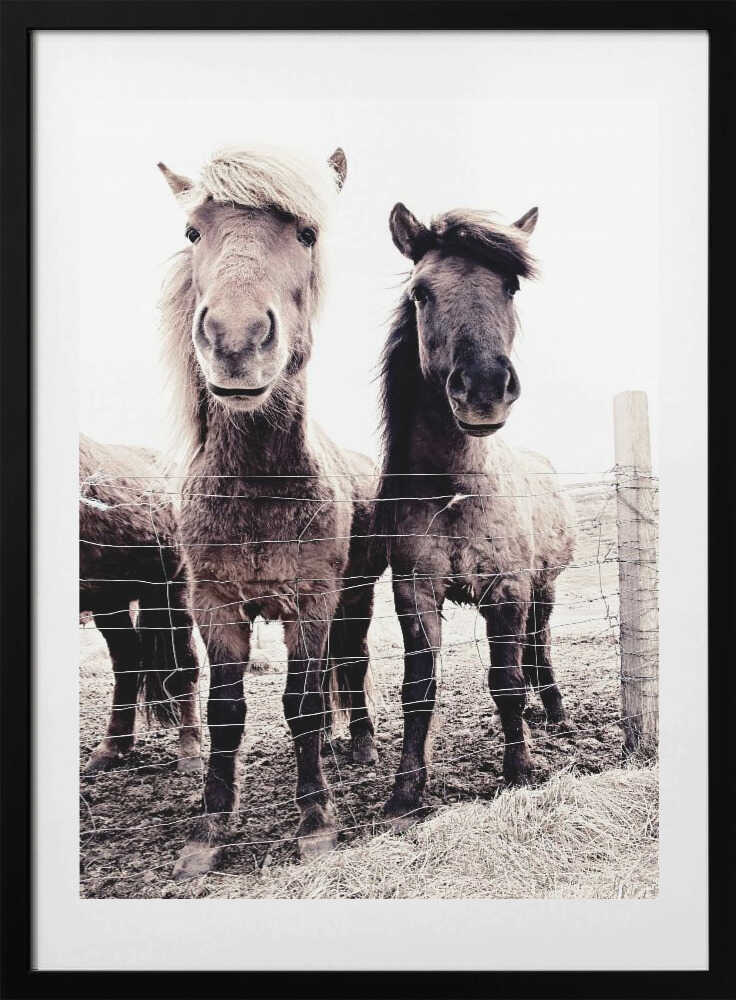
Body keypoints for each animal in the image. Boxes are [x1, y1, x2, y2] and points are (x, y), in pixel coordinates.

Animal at [79, 433, 201, 773]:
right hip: (111, 600)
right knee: (127, 662)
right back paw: (111, 748)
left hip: (173, 591)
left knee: (185, 663)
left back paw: (191, 752)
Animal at [157, 146, 383, 878]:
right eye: (193, 232)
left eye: (307, 233)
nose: (235, 338)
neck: (258, 487)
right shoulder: (215, 605)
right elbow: (226, 712)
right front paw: (207, 830)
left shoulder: (311, 599)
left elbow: (304, 703)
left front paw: (316, 821)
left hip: (357, 596)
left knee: (352, 662)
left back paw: (359, 743)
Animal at [377, 202, 576, 826]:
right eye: (421, 292)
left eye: (511, 286)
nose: (485, 387)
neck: (457, 492)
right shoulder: (415, 592)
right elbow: (418, 689)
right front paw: (406, 792)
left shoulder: (509, 589)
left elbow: (506, 680)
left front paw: (521, 769)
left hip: (545, 586)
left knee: (540, 642)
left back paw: (553, 707)